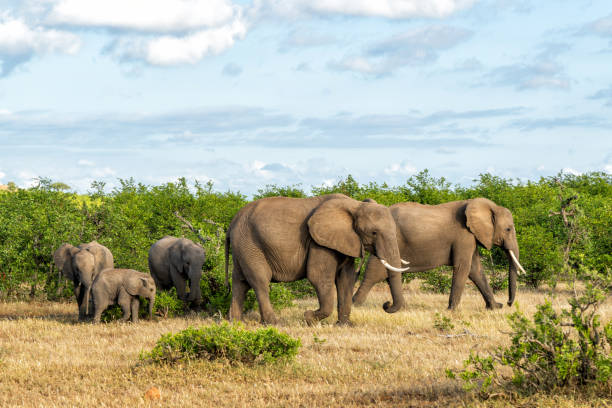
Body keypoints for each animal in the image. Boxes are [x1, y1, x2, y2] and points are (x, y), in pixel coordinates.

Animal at [226, 194, 412, 326]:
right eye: (373, 233)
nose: (386, 304)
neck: (355, 205)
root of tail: (232, 222)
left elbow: (346, 278)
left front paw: (345, 325)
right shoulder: (319, 243)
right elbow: (319, 277)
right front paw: (308, 318)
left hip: (242, 247)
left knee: (240, 282)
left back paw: (236, 323)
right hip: (251, 245)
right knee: (260, 282)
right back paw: (274, 323)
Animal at [352, 198, 528, 310]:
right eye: (508, 229)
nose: (508, 303)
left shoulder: (470, 237)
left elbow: (475, 270)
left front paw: (494, 307)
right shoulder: (464, 236)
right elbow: (463, 268)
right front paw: (451, 310)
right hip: (384, 240)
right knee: (374, 273)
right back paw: (357, 304)